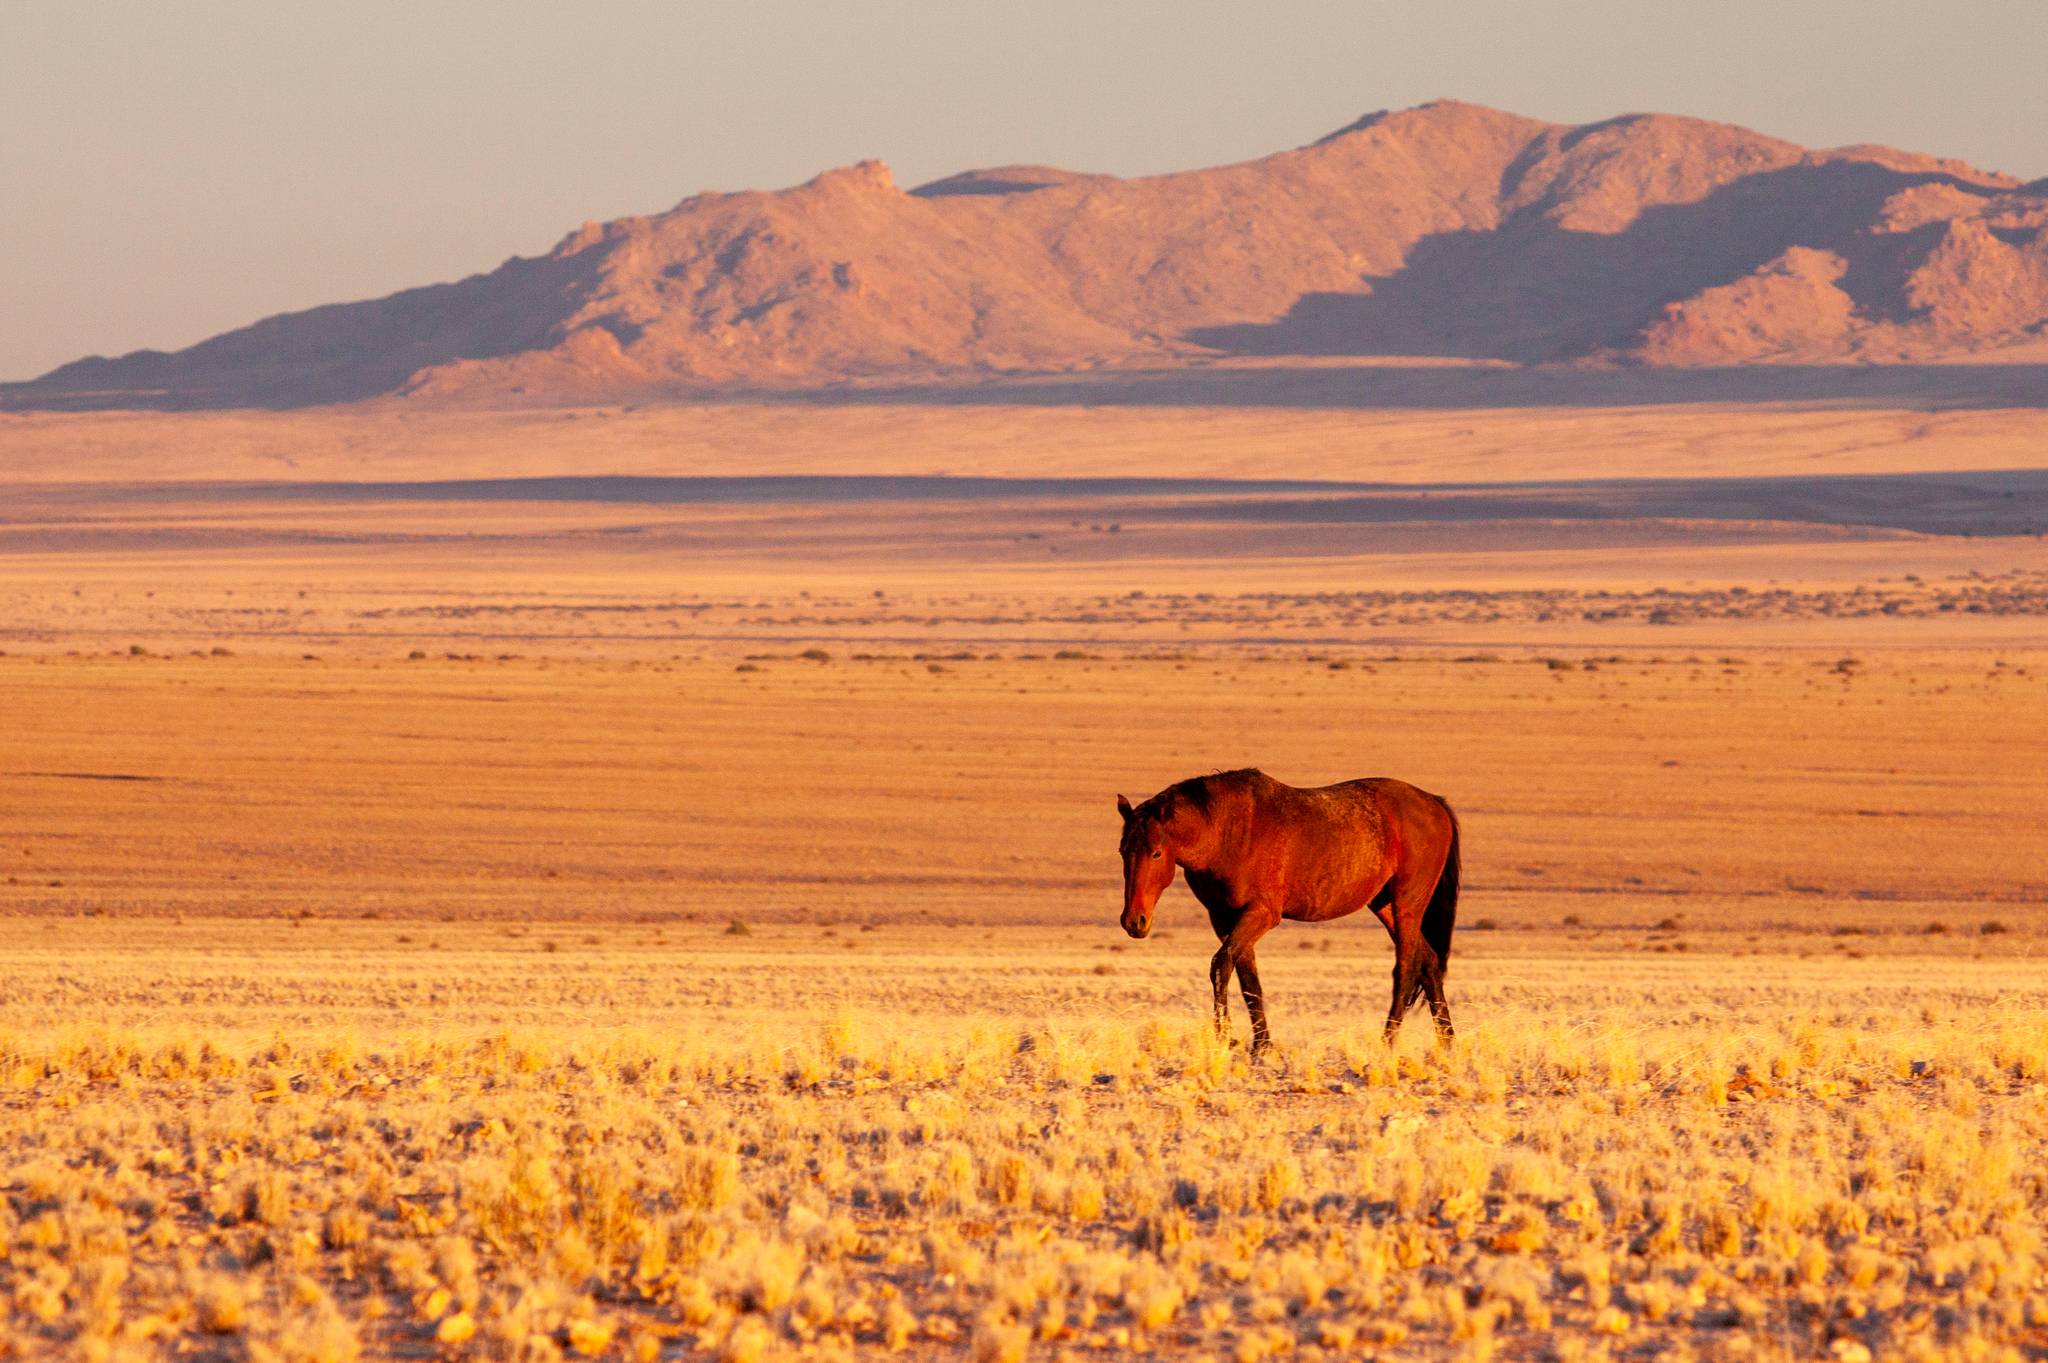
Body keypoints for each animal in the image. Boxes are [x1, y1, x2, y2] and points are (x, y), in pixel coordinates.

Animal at [1114, 769, 1466, 1043]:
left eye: (1157, 852)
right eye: (1122, 851)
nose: (1134, 921)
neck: (1227, 831)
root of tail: (1434, 802)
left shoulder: (1261, 914)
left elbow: (1220, 966)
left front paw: (1226, 1037)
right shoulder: (1226, 920)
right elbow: (1249, 982)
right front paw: (1262, 1046)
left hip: (1407, 904)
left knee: (1406, 967)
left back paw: (1389, 1041)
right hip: (1385, 906)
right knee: (1428, 962)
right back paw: (1446, 1042)